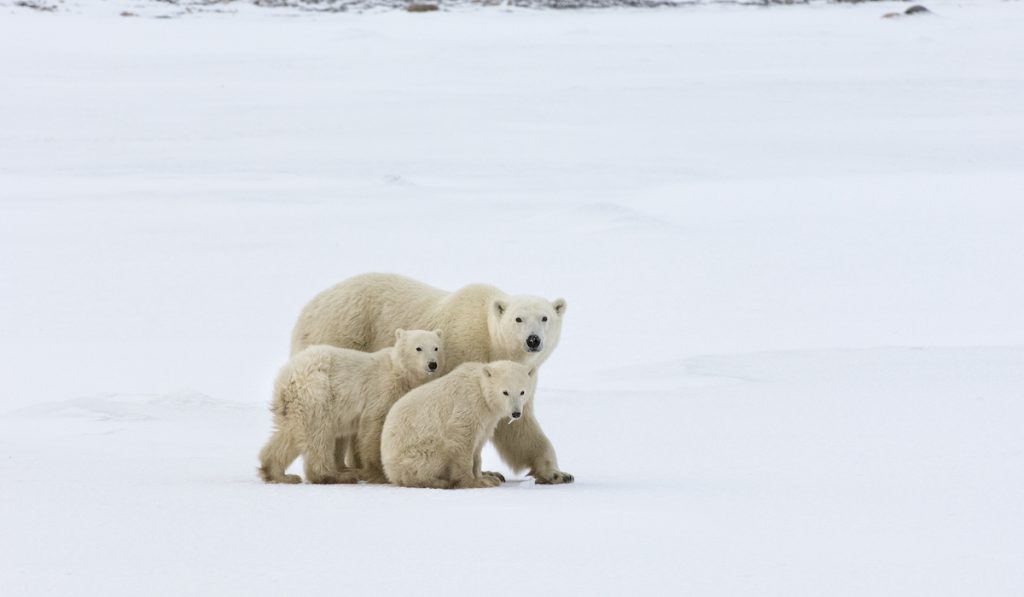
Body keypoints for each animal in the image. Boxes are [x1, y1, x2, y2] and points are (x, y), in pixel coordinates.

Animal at [258, 329, 442, 483]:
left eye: (436, 348)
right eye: (418, 348)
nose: (432, 364)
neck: (399, 373)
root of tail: (286, 377)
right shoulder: (380, 390)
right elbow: (373, 428)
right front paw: (378, 473)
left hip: (295, 404)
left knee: (288, 435)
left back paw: (279, 474)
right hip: (317, 392)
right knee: (318, 434)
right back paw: (334, 475)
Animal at [380, 360, 532, 491]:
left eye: (522, 392)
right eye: (505, 392)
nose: (516, 413)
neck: (480, 390)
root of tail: (388, 468)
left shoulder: (487, 419)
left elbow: (478, 447)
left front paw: (485, 478)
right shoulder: (467, 406)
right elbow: (462, 441)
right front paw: (474, 482)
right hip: (419, 451)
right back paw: (440, 482)